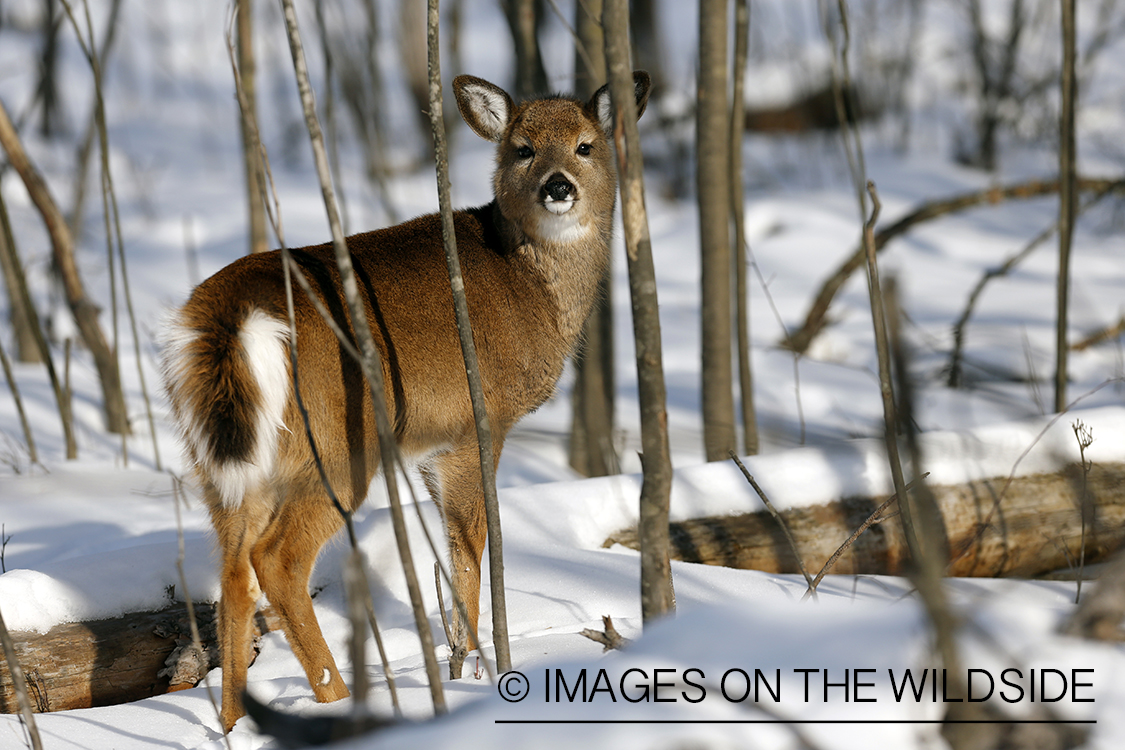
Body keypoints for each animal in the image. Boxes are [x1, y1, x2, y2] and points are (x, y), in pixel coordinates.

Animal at [161, 71, 651, 732]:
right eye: (522, 148)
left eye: (585, 146)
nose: (558, 186)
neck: (531, 292)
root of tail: (227, 315)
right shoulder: (478, 423)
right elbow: (471, 553)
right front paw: (475, 672)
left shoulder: (430, 448)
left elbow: (451, 557)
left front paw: (460, 667)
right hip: (338, 445)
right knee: (278, 560)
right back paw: (339, 698)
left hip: (222, 462)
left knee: (233, 572)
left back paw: (236, 724)